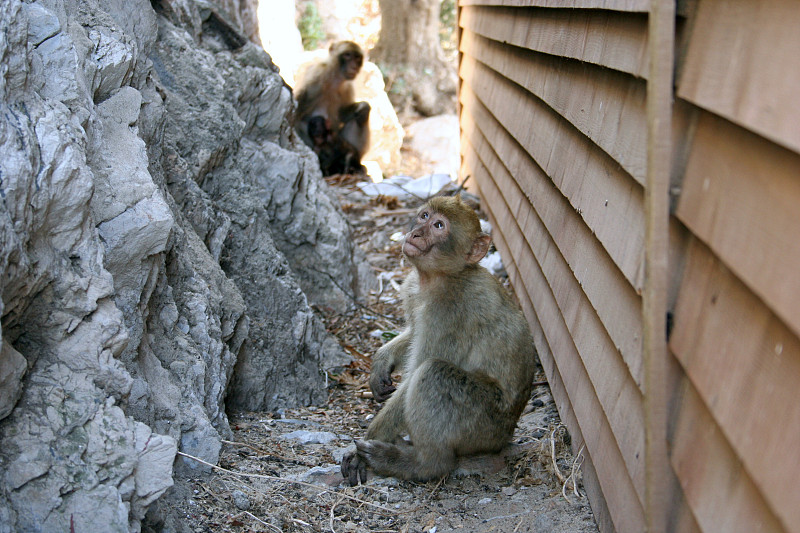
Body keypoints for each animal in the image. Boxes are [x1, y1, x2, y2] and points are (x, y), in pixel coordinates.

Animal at [292, 41, 370, 177]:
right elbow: (296, 114)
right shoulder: (316, 76)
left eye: (357, 57)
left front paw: (364, 106)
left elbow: (343, 114)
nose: (354, 66)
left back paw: (356, 163)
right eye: (347, 55)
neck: (335, 78)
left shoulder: (347, 87)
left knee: (358, 119)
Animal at [340, 194, 536, 482]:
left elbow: (416, 373)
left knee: (433, 373)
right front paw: (381, 361)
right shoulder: (413, 289)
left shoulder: (450, 311)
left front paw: (364, 445)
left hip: (482, 425)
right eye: (424, 216)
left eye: (439, 226)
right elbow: (413, 332)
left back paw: (422, 464)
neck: (441, 277)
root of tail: (506, 434)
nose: (416, 233)